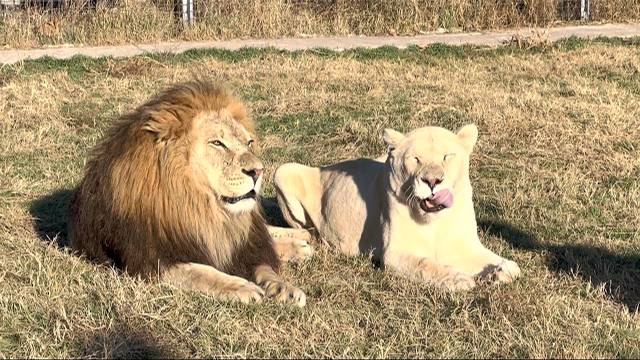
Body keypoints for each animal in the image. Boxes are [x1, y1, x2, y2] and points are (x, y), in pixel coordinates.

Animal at [69, 79, 308, 306]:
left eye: (249, 143)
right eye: (217, 143)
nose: (258, 171)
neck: (195, 206)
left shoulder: (245, 245)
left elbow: (265, 267)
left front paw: (283, 288)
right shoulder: (151, 259)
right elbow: (201, 272)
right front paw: (240, 286)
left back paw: (301, 240)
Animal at [274, 125, 520, 292]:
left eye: (447, 156)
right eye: (416, 159)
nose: (433, 181)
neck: (434, 221)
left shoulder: (464, 246)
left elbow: (510, 267)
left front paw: (500, 271)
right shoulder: (394, 254)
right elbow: (426, 264)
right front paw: (459, 279)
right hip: (283, 170)